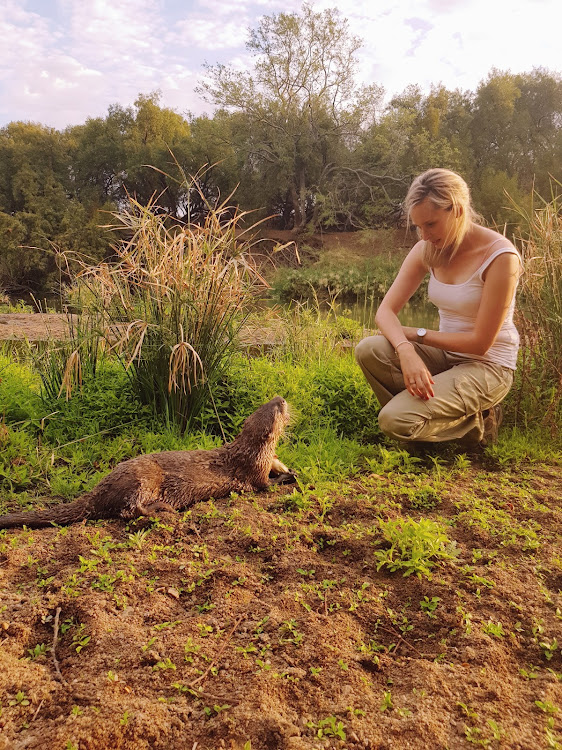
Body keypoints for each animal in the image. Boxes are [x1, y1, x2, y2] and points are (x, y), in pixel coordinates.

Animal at [0, 396, 296, 532]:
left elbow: (279, 466)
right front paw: (287, 477)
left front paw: (286, 468)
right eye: (276, 410)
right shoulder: (254, 471)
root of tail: (99, 490)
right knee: (129, 511)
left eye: (268, 402)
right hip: (143, 479)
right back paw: (163, 509)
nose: (281, 398)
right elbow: (265, 485)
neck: (253, 451)